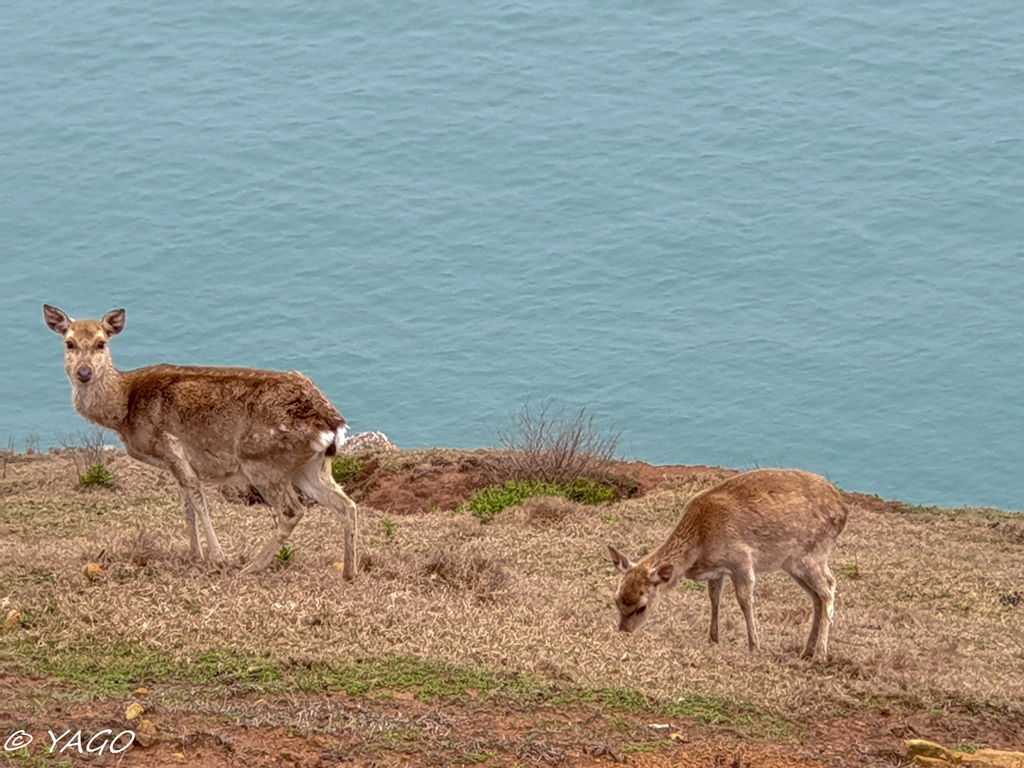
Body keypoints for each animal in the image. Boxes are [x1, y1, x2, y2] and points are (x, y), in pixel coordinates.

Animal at [44, 303, 360, 581]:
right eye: (69, 343)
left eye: (101, 343)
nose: (84, 373)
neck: (124, 408)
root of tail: (332, 424)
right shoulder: (176, 461)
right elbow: (186, 505)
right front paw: (194, 553)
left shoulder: (170, 445)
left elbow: (197, 498)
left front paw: (217, 556)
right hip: (311, 466)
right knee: (347, 505)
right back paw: (348, 571)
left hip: (262, 460)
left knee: (292, 511)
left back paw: (251, 567)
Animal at [606, 468, 847, 663]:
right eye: (616, 599)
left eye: (642, 606)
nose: (623, 632)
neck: (699, 545)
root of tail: (843, 512)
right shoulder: (717, 570)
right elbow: (714, 597)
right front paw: (713, 638)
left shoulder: (741, 559)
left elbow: (745, 600)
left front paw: (754, 646)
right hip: (794, 563)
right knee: (818, 594)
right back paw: (807, 651)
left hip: (810, 554)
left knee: (828, 590)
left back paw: (820, 654)